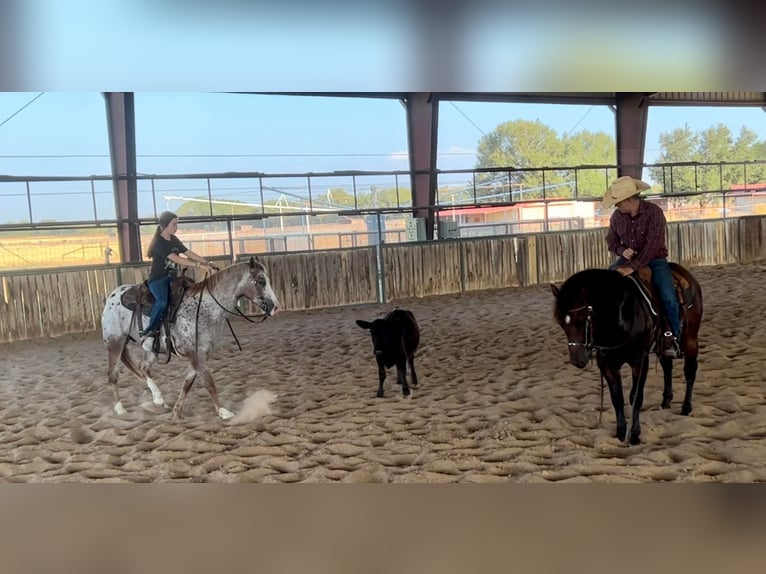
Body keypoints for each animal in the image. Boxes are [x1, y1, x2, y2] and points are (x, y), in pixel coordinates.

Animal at [102, 258, 280, 420]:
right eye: (261, 281)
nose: (276, 307)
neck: (205, 309)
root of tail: (113, 295)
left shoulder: (200, 354)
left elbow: (188, 384)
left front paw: (176, 411)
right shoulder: (195, 354)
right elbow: (208, 382)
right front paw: (223, 411)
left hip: (151, 349)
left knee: (143, 368)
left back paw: (159, 399)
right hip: (115, 342)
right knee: (112, 374)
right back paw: (120, 409)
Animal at [552, 264, 708, 448]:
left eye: (581, 320)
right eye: (562, 324)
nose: (577, 361)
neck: (620, 317)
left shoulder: (639, 361)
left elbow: (636, 396)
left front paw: (634, 435)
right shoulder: (607, 363)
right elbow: (617, 397)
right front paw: (620, 433)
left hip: (690, 338)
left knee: (690, 371)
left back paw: (686, 408)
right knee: (667, 366)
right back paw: (666, 401)